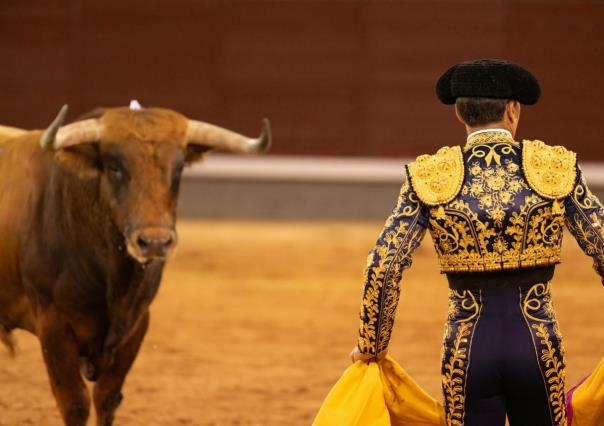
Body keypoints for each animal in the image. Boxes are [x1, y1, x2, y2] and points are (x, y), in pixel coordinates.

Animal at [0, 105, 272, 424]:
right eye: (114, 167)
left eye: (179, 168)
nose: (154, 242)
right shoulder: (52, 323)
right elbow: (75, 404)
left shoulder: (137, 323)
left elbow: (107, 398)